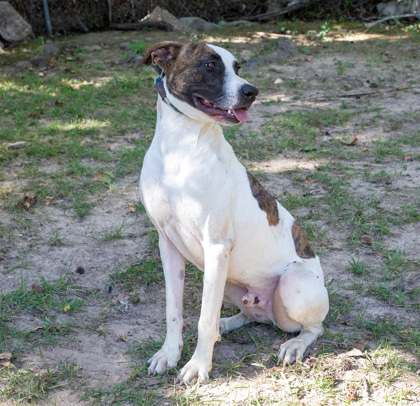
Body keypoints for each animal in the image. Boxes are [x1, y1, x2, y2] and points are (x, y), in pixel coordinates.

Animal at [139, 41, 330, 384]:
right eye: (210, 65)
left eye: (237, 67)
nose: (251, 91)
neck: (181, 145)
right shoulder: (168, 244)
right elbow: (174, 311)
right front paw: (168, 354)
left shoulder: (215, 246)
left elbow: (203, 318)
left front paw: (198, 366)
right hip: (226, 280)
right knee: (248, 315)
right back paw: (227, 325)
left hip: (292, 283)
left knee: (313, 327)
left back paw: (294, 345)